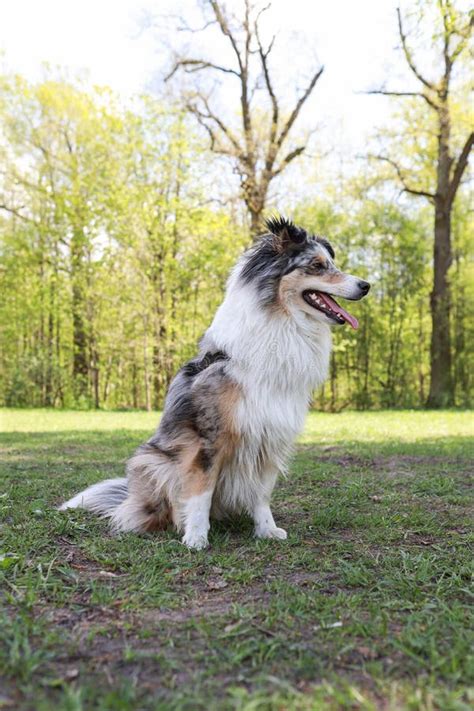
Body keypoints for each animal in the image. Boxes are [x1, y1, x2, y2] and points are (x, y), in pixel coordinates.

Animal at [60, 217, 370, 552]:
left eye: (330, 263)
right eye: (317, 265)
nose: (366, 285)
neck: (282, 322)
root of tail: (128, 495)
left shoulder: (268, 437)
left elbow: (261, 493)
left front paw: (266, 530)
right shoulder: (207, 440)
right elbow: (200, 492)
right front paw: (195, 536)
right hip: (153, 461)